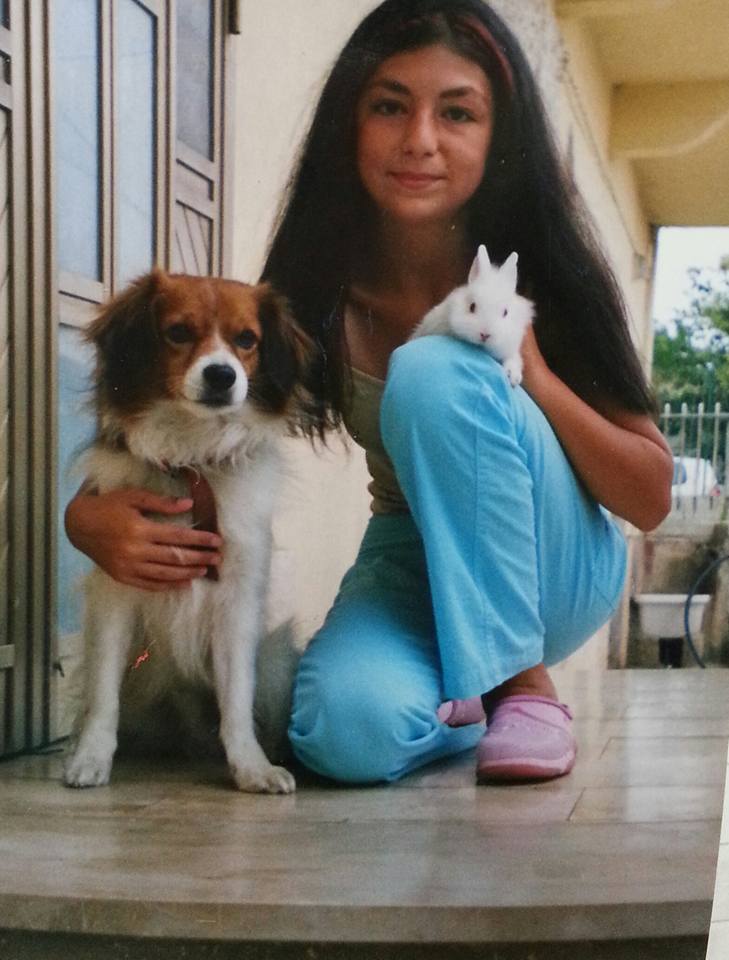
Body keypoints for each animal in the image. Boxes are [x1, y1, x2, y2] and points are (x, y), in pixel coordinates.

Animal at [63, 270, 312, 794]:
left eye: (247, 340)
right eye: (178, 332)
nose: (222, 375)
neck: (192, 459)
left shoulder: (237, 600)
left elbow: (237, 699)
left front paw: (252, 767)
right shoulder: (116, 594)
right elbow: (103, 695)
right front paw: (91, 758)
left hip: (276, 656)